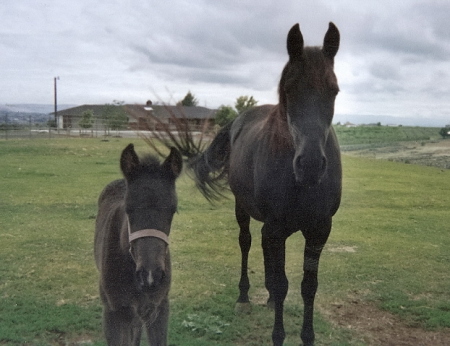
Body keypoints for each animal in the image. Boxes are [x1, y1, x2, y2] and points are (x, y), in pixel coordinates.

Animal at [148, 23, 342, 344]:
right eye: (289, 90)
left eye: (334, 90)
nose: (311, 165)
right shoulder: (276, 227)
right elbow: (282, 284)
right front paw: (278, 335)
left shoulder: (319, 230)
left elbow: (307, 286)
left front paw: (307, 336)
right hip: (244, 210)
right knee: (247, 242)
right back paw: (244, 297)